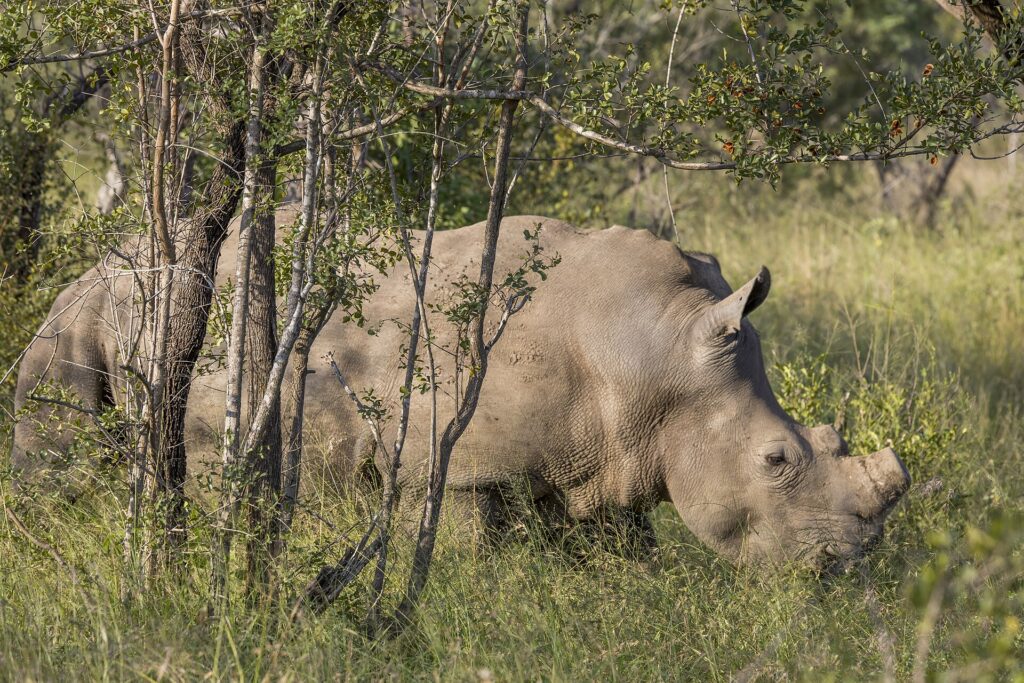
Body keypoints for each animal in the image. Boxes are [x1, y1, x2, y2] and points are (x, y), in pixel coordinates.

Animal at [12, 213, 910, 567]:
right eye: (777, 459)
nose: (842, 567)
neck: (652, 353)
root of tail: (92, 267)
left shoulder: (613, 460)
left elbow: (621, 555)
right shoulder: (459, 464)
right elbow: (467, 554)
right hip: (77, 324)